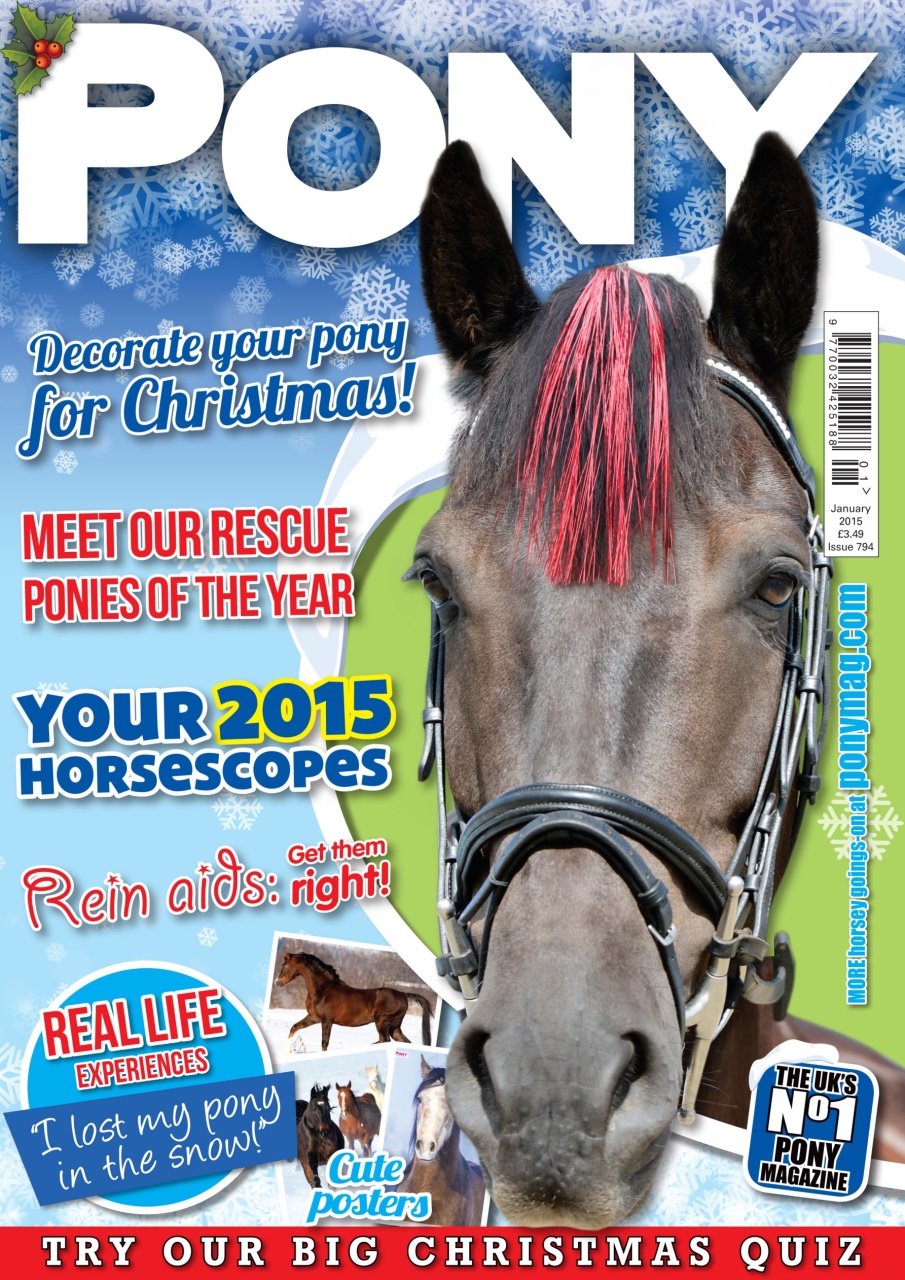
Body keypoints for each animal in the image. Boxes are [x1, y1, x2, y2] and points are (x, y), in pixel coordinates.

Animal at [275, 950, 434, 1051]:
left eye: (284, 966)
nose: (277, 982)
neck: (323, 989)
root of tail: (403, 994)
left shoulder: (326, 1021)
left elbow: (324, 1043)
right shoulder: (314, 1017)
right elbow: (294, 1027)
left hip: (382, 1022)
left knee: (384, 1040)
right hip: (394, 1026)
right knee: (403, 1041)